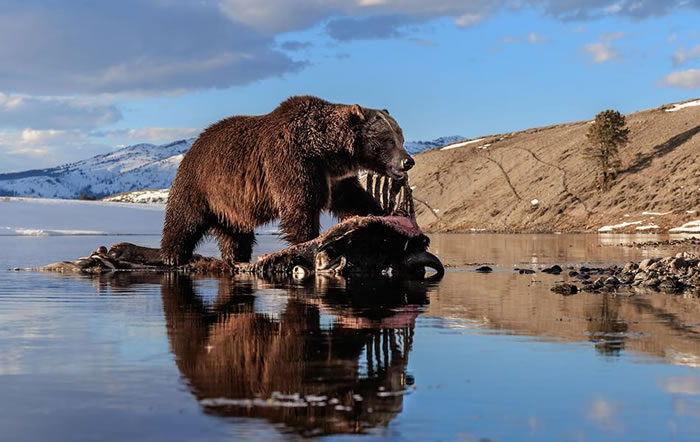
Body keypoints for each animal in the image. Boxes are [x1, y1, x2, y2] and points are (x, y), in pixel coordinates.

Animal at [160, 95, 416, 264]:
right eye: (387, 140)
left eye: (400, 136)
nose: (408, 161)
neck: (326, 151)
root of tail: (196, 143)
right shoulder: (292, 162)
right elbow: (301, 207)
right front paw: (308, 241)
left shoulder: (334, 177)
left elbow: (351, 198)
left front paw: (381, 213)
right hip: (201, 185)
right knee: (184, 220)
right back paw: (173, 256)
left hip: (231, 205)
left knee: (236, 234)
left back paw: (237, 256)